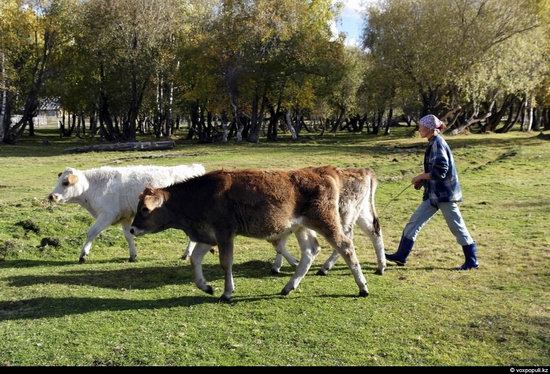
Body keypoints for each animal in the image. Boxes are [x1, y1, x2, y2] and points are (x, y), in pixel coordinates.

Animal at [48, 164, 205, 262]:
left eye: (65, 183)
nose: (51, 196)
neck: (92, 187)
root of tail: (193, 167)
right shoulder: (125, 218)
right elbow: (128, 236)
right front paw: (133, 256)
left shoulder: (107, 215)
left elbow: (91, 232)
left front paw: (83, 255)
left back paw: (187, 254)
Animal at [129, 167, 370, 300]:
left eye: (145, 209)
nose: (132, 228)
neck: (201, 196)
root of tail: (323, 172)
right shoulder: (208, 234)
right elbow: (195, 259)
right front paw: (205, 286)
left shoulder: (225, 232)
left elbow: (225, 262)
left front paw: (227, 292)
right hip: (301, 227)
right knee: (311, 250)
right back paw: (289, 287)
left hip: (326, 221)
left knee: (346, 246)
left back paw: (362, 287)